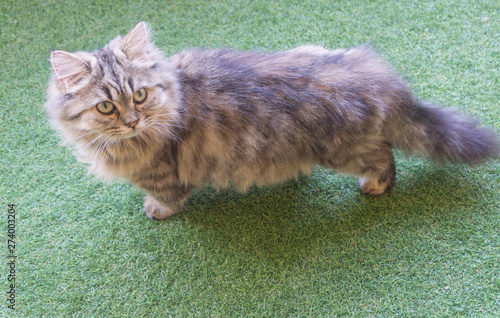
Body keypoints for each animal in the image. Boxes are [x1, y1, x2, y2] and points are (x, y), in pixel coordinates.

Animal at [45, 21, 498, 219]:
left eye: (139, 95)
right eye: (107, 107)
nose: (133, 121)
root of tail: (373, 75)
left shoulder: (164, 172)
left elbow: (167, 196)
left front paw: (156, 210)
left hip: (342, 149)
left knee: (384, 156)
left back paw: (374, 186)